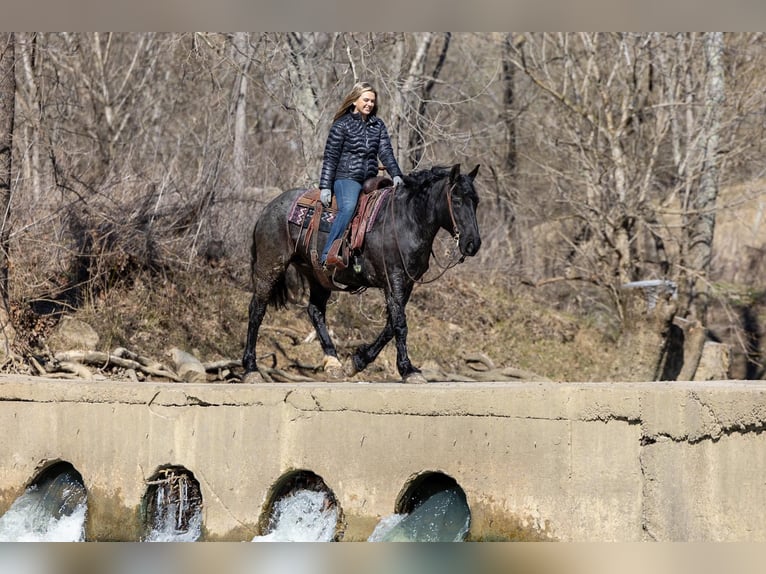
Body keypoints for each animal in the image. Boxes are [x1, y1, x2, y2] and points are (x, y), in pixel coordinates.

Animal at [242, 164, 480, 384]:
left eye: (475, 201)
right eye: (456, 199)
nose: (473, 244)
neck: (406, 220)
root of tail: (268, 208)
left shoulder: (406, 284)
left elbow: (390, 326)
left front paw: (357, 362)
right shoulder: (394, 280)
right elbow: (400, 325)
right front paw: (408, 370)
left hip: (317, 275)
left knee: (315, 311)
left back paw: (333, 363)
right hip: (270, 266)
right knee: (257, 310)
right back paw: (251, 369)